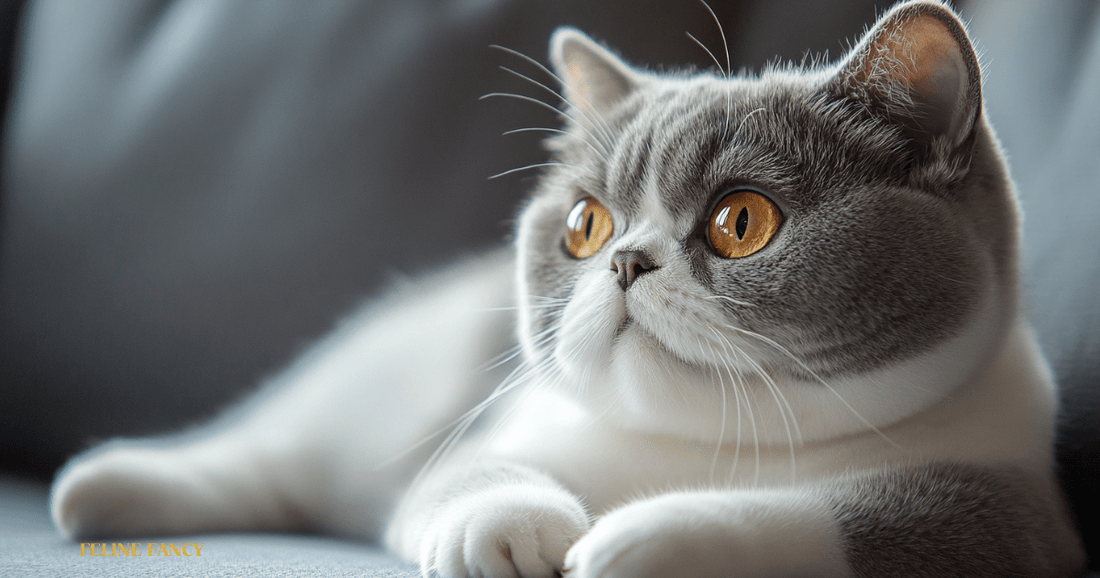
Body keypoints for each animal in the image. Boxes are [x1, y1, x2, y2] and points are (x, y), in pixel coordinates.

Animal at [49, 0, 1082, 572]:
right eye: (587, 227)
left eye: (741, 222)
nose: (625, 261)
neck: (700, 444)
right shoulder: (491, 436)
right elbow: (468, 478)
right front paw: (510, 530)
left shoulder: (1013, 514)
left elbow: (860, 519)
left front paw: (641, 539)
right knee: (264, 453)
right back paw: (108, 484)